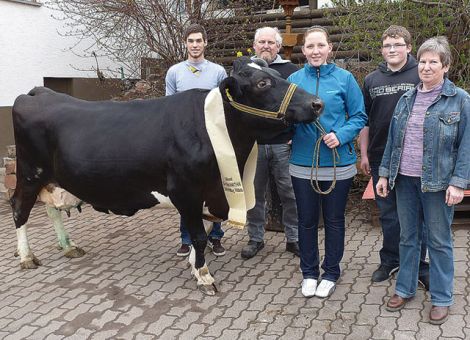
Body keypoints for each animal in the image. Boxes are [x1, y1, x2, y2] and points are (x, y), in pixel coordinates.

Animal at [10, 57, 324, 294]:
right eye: (262, 83)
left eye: (276, 74)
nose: (317, 103)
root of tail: (40, 92)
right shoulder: (186, 191)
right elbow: (198, 236)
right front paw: (204, 276)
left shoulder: (208, 193)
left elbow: (201, 233)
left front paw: (195, 267)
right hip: (29, 173)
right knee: (19, 209)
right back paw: (26, 256)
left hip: (51, 178)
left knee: (52, 209)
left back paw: (68, 246)